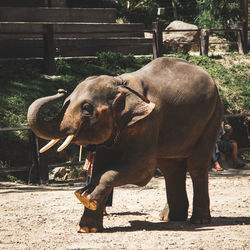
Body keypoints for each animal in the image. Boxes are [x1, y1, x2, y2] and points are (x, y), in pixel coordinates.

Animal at [27, 56, 223, 232]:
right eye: (66, 103)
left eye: (87, 109)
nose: (60, 90)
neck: (120, 83)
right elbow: (101, 166)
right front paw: (86, 226)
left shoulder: (149, 121)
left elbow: (142, 170)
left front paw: (86, 198)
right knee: (170, 167)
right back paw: (168, 217)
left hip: (213, 116)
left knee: (196, 165)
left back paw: (199, 221)